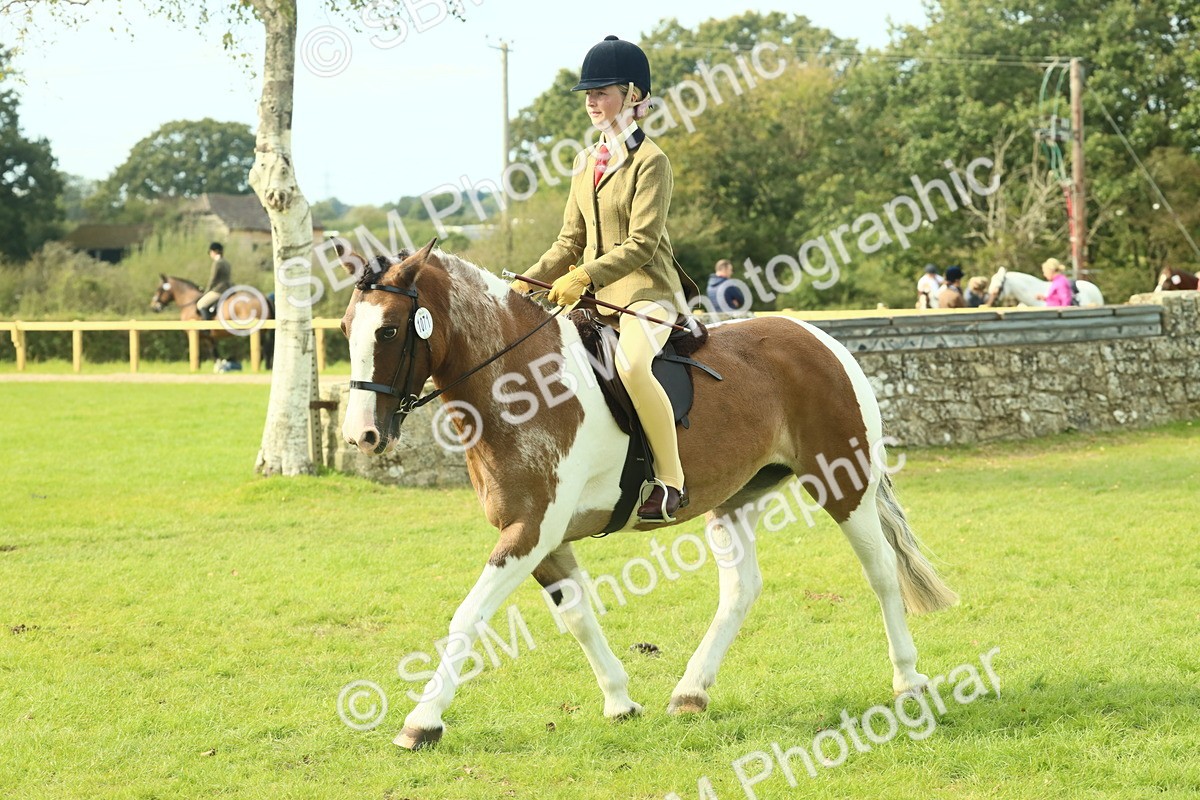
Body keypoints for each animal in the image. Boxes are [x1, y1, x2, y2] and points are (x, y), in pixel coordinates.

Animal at [338, 240, 958, 751]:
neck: (521, 382)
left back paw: (908, 679)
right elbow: (577, 615)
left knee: (880, 572)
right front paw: (620, 700)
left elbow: (469, 616)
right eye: (346, 328)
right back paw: (691, 692)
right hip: (735, 498)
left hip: (842, 482)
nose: (361, 435)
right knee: (742, 588)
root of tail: (821, 338)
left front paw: (421, 722)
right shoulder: (542, 537)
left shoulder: (530, 530)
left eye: (389, 331)